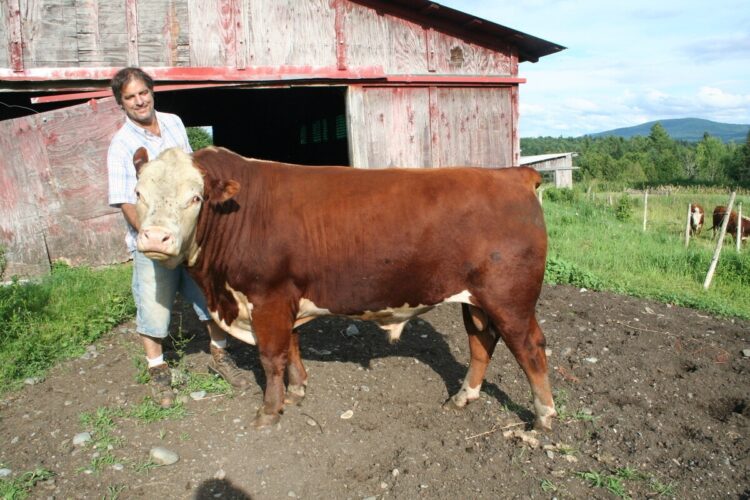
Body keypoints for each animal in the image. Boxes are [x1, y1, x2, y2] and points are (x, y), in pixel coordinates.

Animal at [133, 146, 556, 431]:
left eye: (195, 197)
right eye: (138, 194)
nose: (155, 237)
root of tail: (512, 174)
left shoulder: (268, 296)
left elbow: (271, 357)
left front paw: (269, 411)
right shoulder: (286, 296)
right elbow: (291, 346)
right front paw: (298, 389)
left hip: (510, 298)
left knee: (529, 348)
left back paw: (543, 417)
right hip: (476, 299)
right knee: (481, 343)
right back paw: (463, 397)